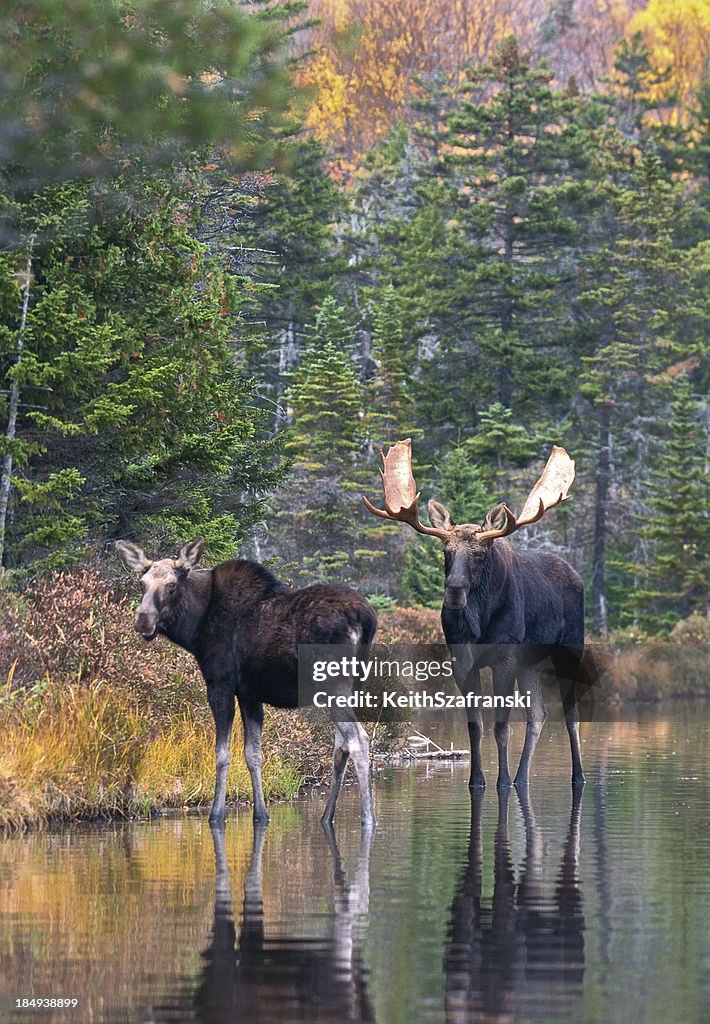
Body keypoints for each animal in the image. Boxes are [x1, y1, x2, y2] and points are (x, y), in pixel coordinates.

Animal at [114, 540, 377, 827]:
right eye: (142, 583)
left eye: (172, 585)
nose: (143, 619)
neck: (195, 628)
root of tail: (367, 617)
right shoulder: (250, 694)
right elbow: (253, 754)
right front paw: (260, 814)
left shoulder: (220, 684)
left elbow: (222, 754)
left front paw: (217, 814)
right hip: (351, 685)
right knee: (341, 745)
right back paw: (327, 817)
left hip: (332, 684)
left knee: (358, 739)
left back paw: (369, 818)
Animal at [362, 440, 586, 790]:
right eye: (446, 551)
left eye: (479, 553)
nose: (454, 590)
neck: (478, 625)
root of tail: (576, 575)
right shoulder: (462, 658)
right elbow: (475, 725)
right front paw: (477, 780)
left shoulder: (505, 656)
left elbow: (501, 725)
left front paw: (501, 781)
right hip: (530, 661)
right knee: (538, 714)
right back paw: (522, 778)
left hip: (570, 648)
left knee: (571, 713)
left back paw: (577, 777)